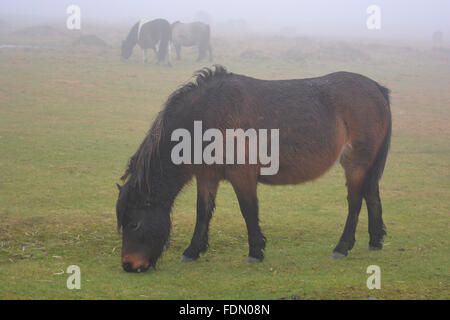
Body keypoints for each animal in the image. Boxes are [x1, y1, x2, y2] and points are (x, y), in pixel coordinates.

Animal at [116, 65, 390, 272]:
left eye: (134, 224)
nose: (129, 265)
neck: (207, 115)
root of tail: (376, 88)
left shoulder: (242, 175)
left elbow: (248, 211)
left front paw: (256, 251)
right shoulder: (207, 176)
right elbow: (203, 211)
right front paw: (192, 251)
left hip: (356, 163)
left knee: (355, 202)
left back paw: (342, 247)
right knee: (372, 195)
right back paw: (375, 241)